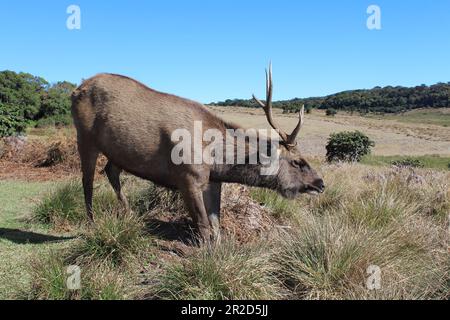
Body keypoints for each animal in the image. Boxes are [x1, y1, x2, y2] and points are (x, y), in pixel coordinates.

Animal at [70, 63, 326, 241]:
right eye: (297, 161)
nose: (321, 183)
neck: (217, 160)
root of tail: (75, 89)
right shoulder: (187, 177)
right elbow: (203, 227)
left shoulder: (212, 180)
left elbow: (216, 225)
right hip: (85, 136)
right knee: (87, 181)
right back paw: (92, 223)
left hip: (118, 151)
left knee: (110, 171)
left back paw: (130, 214)